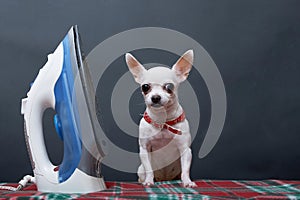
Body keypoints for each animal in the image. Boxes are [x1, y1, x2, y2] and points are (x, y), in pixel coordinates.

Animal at [125, 50, 196, 188]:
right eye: (145, 87)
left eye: (169, 87)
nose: (155, 97)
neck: (162, 121)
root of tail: (165, 178)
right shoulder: (144, 149)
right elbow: (149, 169)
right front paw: (149, 181)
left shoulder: (185, 150)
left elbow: (186, 170)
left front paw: (187, 182)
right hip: (140, 170)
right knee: (143, 173)